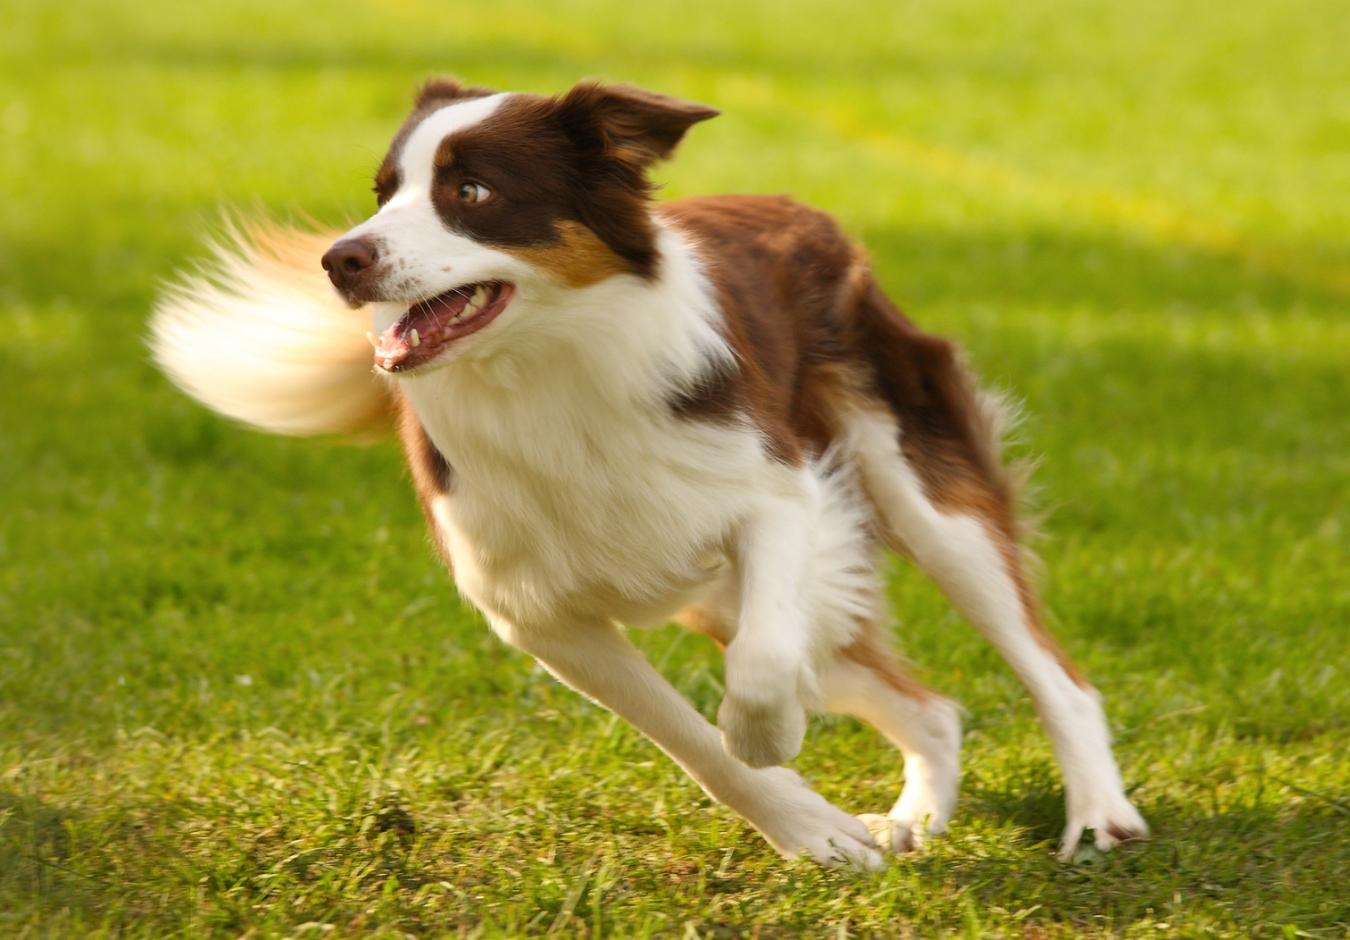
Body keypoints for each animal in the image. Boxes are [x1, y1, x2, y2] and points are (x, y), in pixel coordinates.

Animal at [155, 80, 1150, 864]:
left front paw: (771, 728)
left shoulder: (781, 494)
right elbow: (688, 736)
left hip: (916, 486)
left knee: (1049, 667)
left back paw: (1098, 816)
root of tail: (799, 210)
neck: (547, 375)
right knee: (930, 703)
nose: (340, 259)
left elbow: (761, 668)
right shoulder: (537, 614)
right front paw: (812, 829)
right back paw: (916, 816)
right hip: (722, 590)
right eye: (382, 192)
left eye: (471, 191)